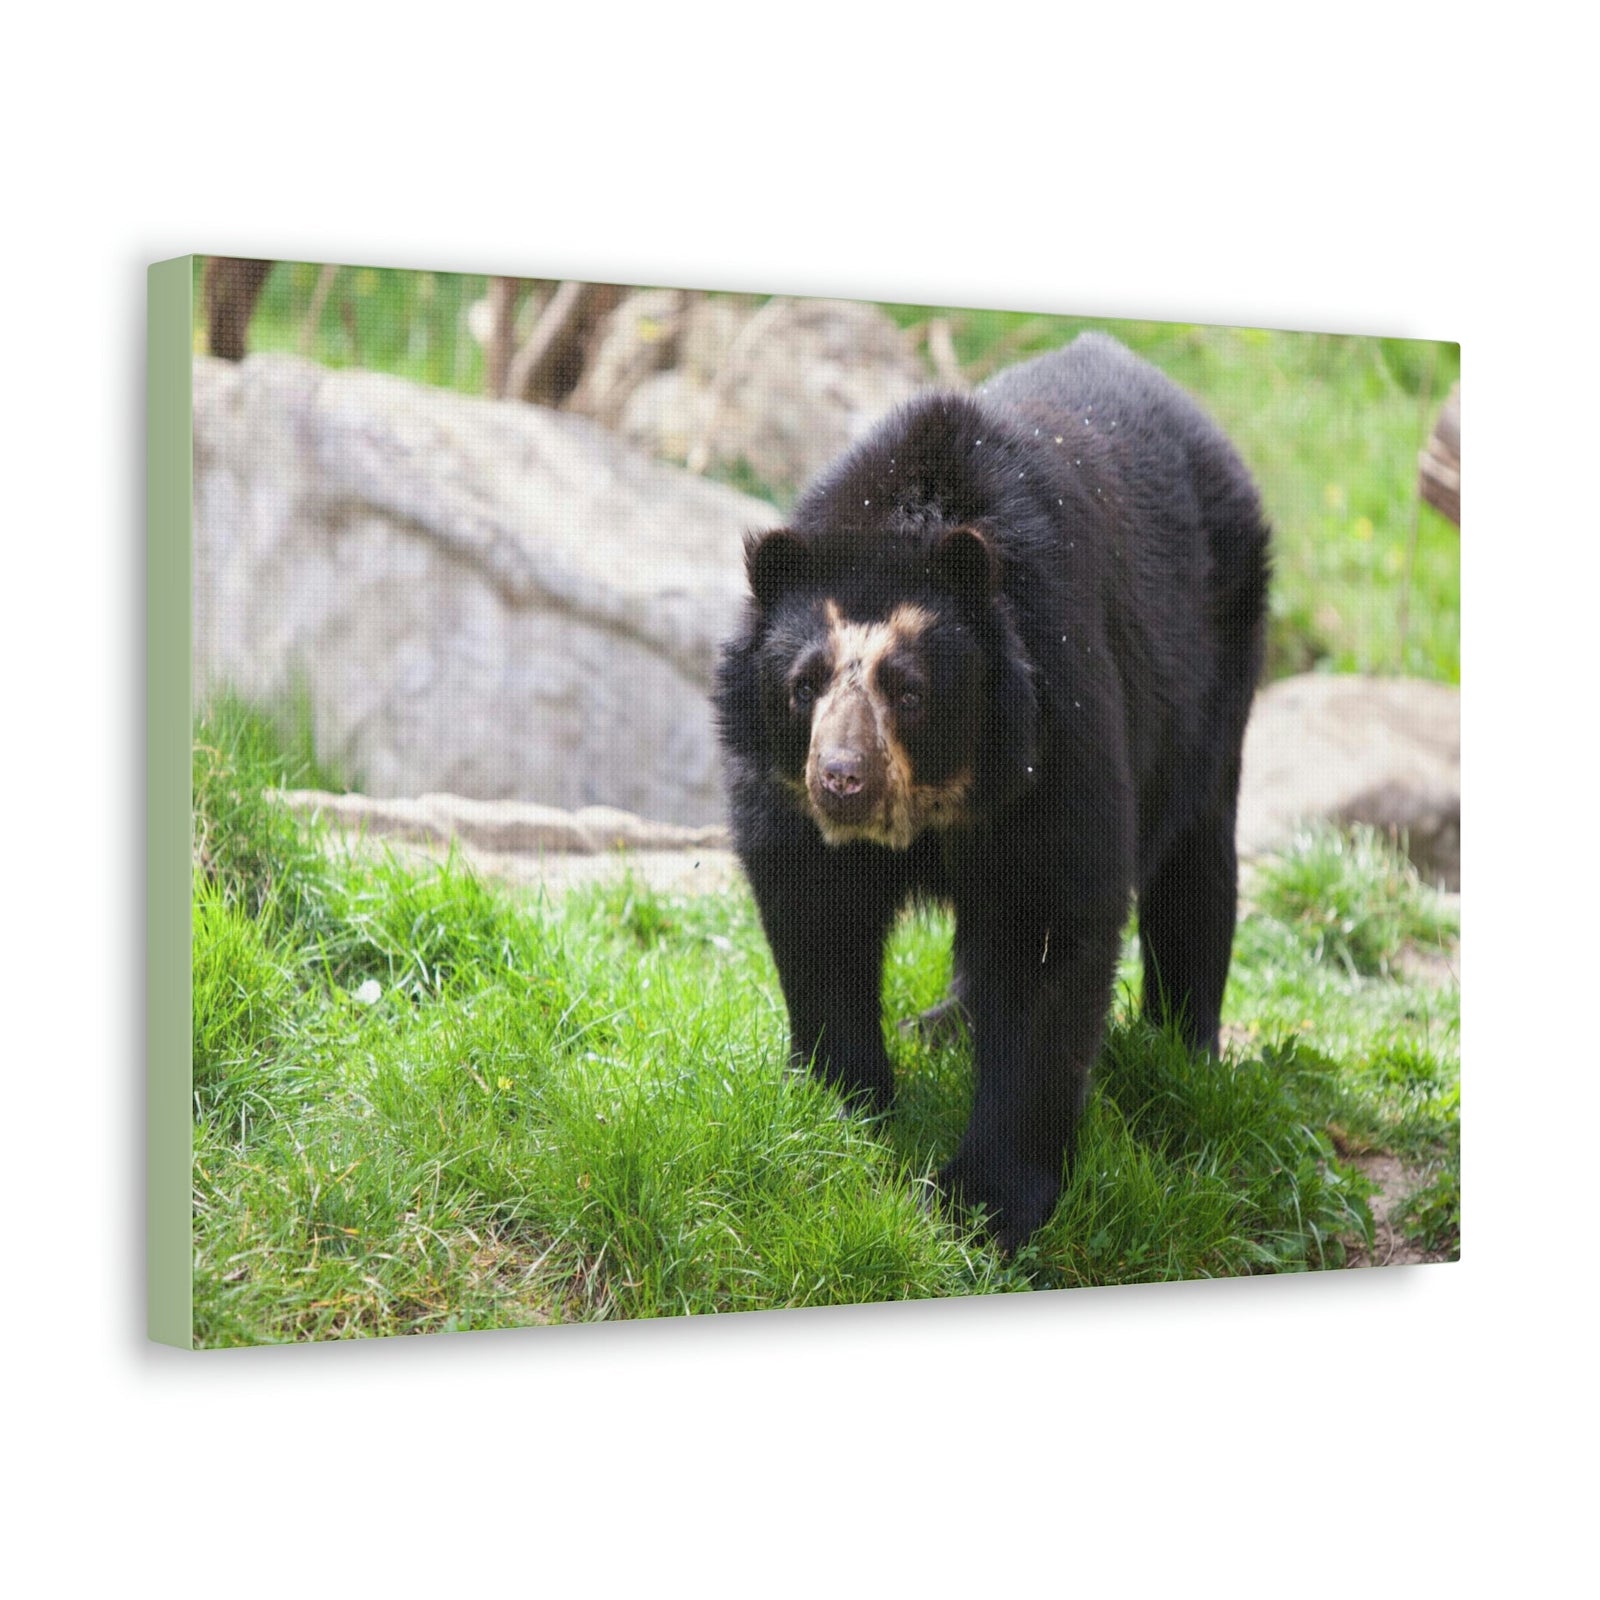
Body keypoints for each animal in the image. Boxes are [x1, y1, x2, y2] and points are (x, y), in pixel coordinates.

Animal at [713, 331, 1270, 1251]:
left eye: (908, 691)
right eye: (803, 686)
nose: (842, 781)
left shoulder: (1057, 724)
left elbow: (1050, 929)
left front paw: (984, 1204)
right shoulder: (779, 788)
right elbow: (815, 908)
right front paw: (839, 1104)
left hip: (1216, 671)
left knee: (1196, 865)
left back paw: (1182, 1053)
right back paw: (942, 1026)